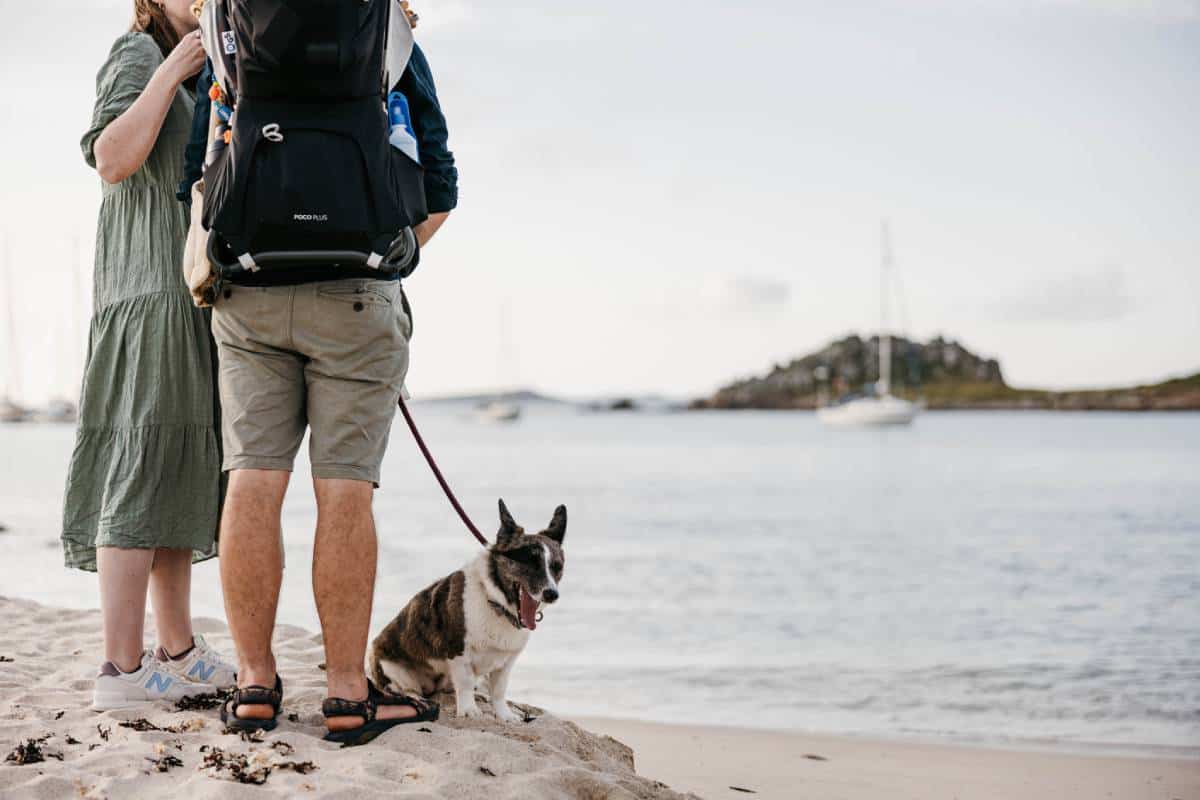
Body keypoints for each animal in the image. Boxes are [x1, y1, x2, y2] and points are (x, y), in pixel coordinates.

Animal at [367, 501, 564, 719]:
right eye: (530, 561)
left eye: (557, 567)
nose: (552, 594)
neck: (496, 603)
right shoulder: (458, 651)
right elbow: (466, 683)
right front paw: (469, 710)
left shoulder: (507, 662)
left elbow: (499, 690)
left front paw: (504, 715)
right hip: (393, 670)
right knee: (404, 689)